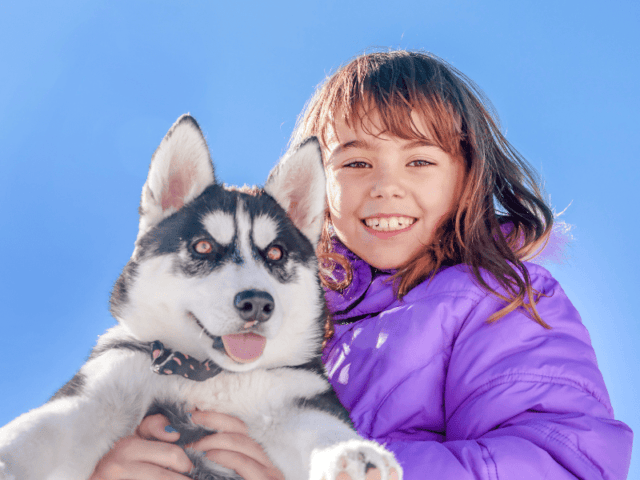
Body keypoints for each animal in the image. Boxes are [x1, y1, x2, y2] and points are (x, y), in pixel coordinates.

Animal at [0, 116, 400, 480]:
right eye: (203, 247)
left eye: (275, 253)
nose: (257, 303)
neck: (208, 377)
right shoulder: (100, 388)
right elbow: (41, 431)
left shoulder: (301, 398)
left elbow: (324, 430)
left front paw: (357, 456)